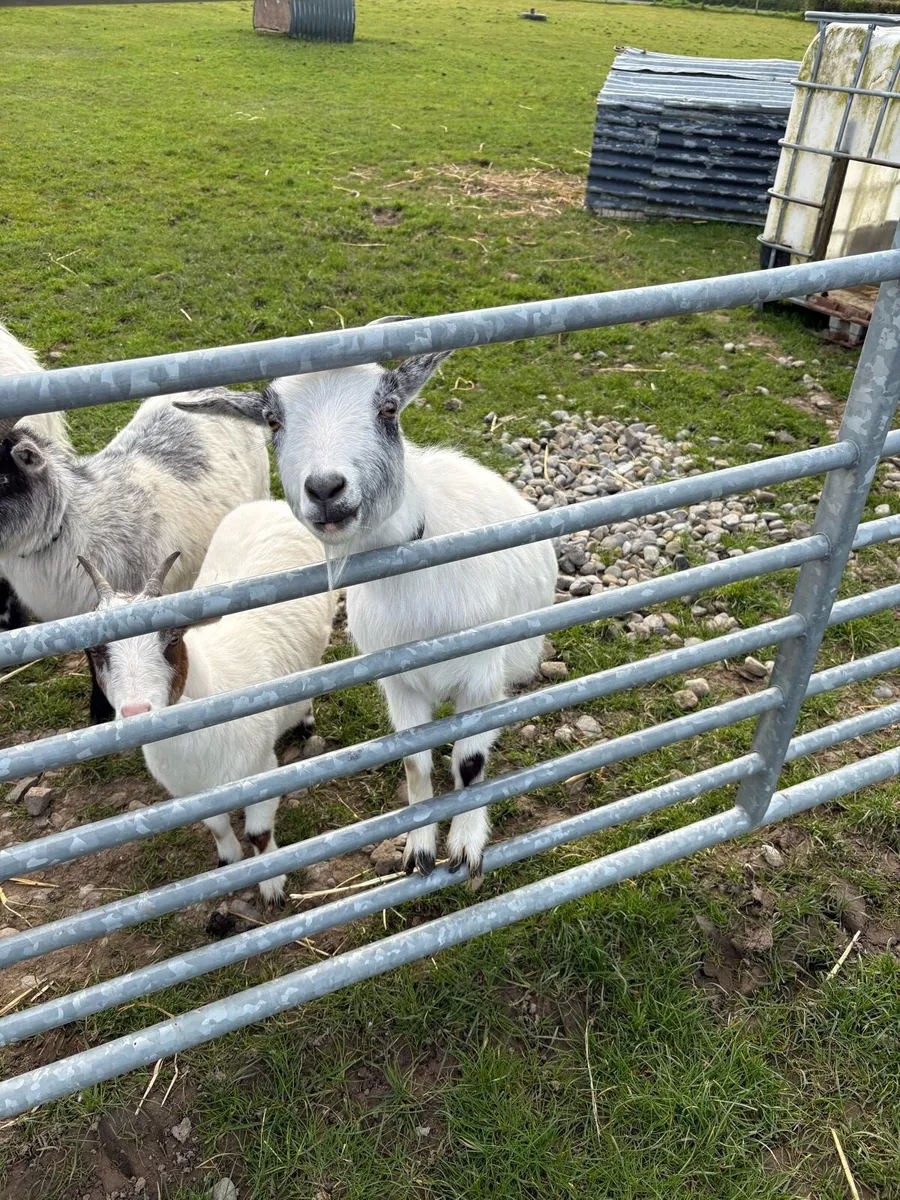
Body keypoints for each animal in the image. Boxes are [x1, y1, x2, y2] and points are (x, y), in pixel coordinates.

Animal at [80, 500, 336, 906]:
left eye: (172, 639)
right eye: (94, 650)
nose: (136, 714)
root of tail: (271, 503)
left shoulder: (261, 768)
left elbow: (259, 834)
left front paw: (272, 885)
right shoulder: (190, 790)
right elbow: (215, 826)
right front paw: (228, 860)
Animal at [177, 327, 558, 880]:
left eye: (389, 408)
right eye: (273, 421)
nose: (325, 489)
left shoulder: (482, 672)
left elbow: (469, 764)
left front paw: (465, 848)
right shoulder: (398, 682)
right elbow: (416, 762)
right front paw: (420, 850)